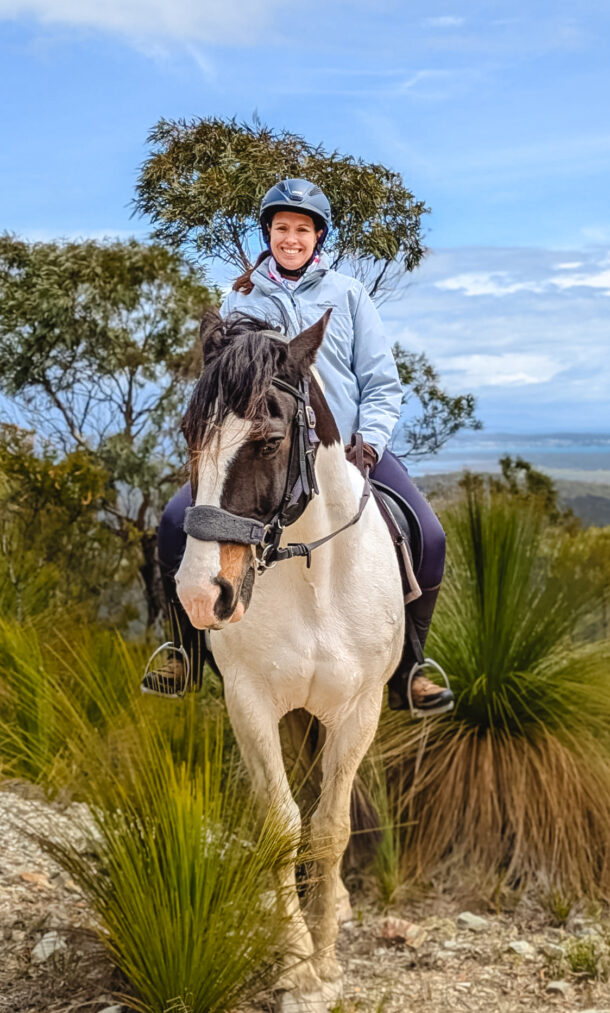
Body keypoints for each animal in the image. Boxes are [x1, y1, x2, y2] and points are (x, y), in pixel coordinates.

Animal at [175, 308, 405, 1011]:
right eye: (189, 433)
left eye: (269, 442)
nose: (202, 595)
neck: (312, 576)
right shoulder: (249, 703)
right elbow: (281, 824)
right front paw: (296, 962)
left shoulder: (358, 711)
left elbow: (330, 828)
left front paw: (326, 959)